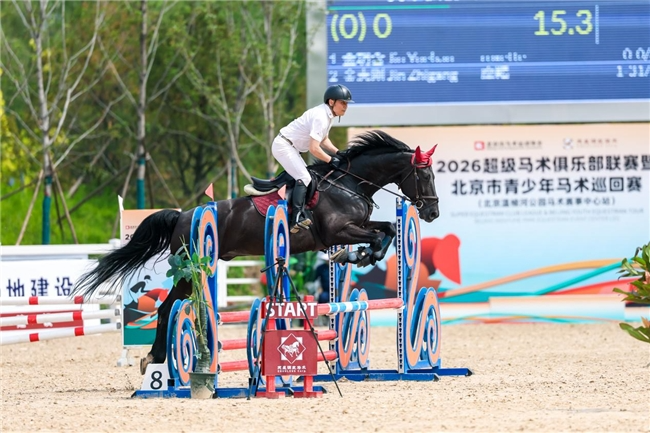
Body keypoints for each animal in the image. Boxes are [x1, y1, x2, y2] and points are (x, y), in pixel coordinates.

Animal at [73, 130, 439, 373]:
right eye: (424, 175)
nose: (432, 212)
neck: (349, 183)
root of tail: (184, 215)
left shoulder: (356, 226)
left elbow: (387, 230)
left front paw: (360, 255)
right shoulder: (337, 231)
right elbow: (377, 236)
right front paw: (358, 255)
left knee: (167, 308)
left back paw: (157, 359)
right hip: (192, 271)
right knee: (167, 308)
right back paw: (157, 360)